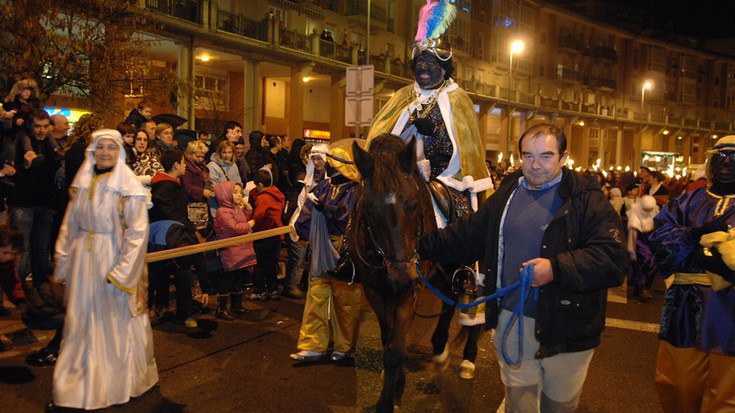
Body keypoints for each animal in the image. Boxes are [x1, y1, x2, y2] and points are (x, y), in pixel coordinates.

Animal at [350, 134, 478, 410]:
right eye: (370, 209)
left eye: (413, 203)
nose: (401, 276)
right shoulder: (376, 290)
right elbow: (388, 338)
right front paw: (396, 386)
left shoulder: (409, 291)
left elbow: (395, 349)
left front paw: (387, 402)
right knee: (449, 300)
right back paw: (439, 348)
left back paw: (468, 360)